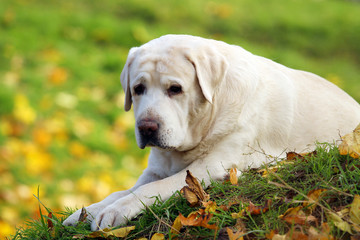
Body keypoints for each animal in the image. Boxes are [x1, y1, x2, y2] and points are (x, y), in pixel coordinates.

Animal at [63, 34, 360, 230]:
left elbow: (149, 190)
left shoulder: (211, 166)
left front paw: (116, 211)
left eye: (175, 89)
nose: (147, 127)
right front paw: (87, 212)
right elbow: (122, 191)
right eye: (138, 89)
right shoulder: (155, 169)